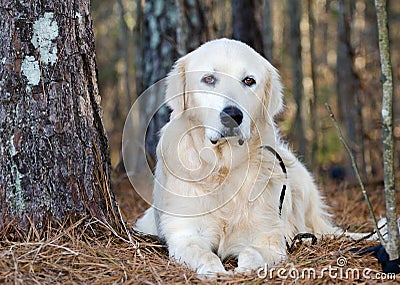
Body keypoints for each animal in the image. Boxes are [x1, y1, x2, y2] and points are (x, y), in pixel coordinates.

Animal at [137, 38, 338, 274]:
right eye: (208, 79)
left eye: (249, 80)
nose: (232, 115)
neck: (224, 167)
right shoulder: (185, 234)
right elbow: (204, 255)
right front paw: (215, 272)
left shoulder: (267, 235)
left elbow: (252, 252)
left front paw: (245, 271)